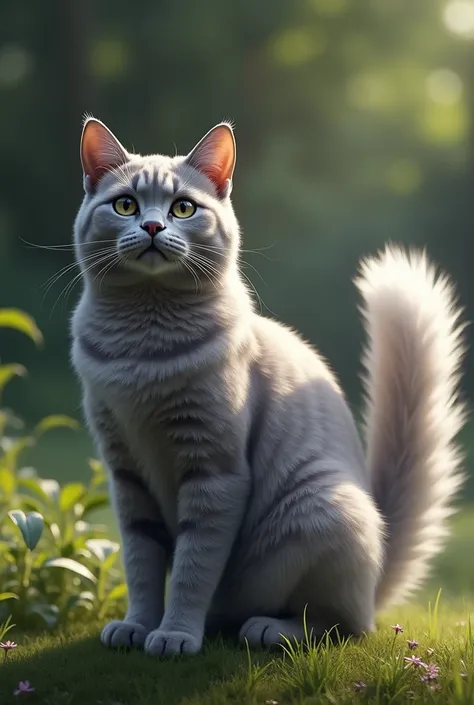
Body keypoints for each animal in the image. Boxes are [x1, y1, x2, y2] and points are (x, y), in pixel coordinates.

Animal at [71, 119, 466, 656]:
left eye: (183, 208)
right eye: (126, 205)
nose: (152, 227)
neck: (142, 349)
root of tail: (378, 572)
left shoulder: (215, 472)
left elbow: (192, 568)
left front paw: (174, 635)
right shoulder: (126, 475)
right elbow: (142, 565)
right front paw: (136, 626)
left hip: (322, 508)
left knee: (342, 625)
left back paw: (268, 629)